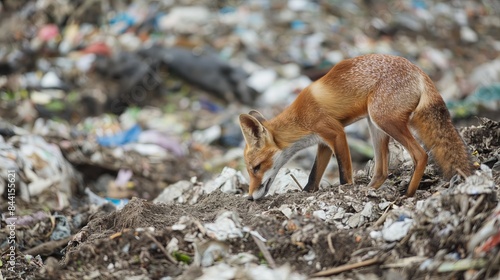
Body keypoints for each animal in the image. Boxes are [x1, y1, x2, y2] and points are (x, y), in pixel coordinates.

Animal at [238, 53, 472, 200]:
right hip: (375, 126)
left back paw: (407, 194)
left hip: (383, 119)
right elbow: (313, 177)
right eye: (250, 170)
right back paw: (370, 190)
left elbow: (344, 175)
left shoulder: (336, 133)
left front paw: (345, 190)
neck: (300, 119)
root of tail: (418, 70)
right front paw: (307, 192)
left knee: (420, 155)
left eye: (256, 168)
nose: (249, 197)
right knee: (382, 171)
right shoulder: (323, 143)